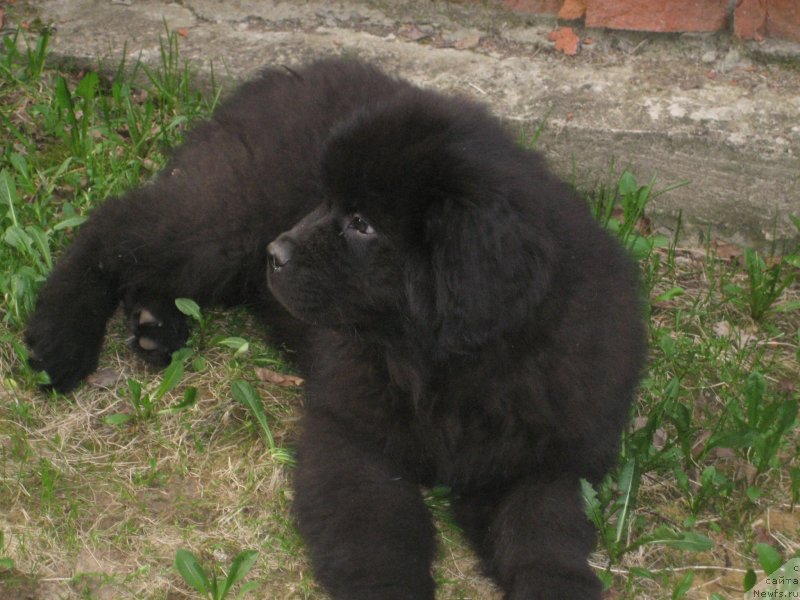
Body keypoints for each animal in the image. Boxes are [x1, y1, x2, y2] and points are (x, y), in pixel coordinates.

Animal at [26, 59, 648, 596]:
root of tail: (279, 76)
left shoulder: (540, 461)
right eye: (329, 203)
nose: (277, 253)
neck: (449, 370)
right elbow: (380, 541)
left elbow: (545, 541)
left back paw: (157, 323)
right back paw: (59, 343)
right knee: (113, 228)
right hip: (225, 215)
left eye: (362, 224)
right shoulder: (353, 436)